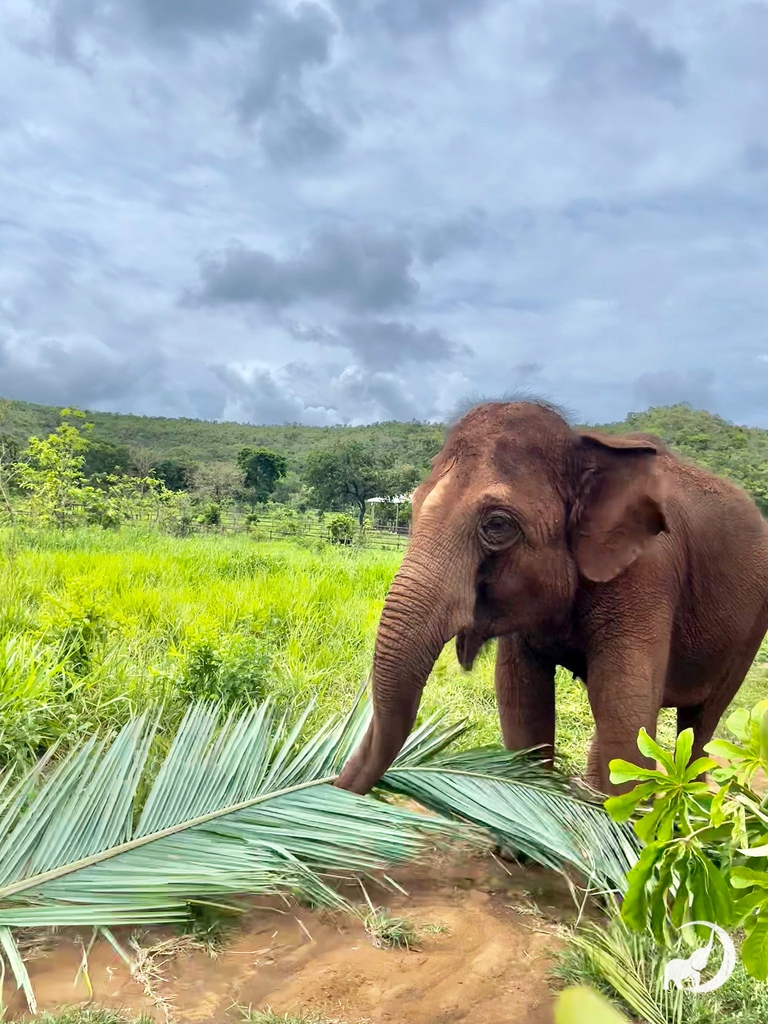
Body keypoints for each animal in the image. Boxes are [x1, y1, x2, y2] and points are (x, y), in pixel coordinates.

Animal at [334, 400, 768, 797]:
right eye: (414, 505)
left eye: (497, 524)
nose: (333, 789)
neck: (585, 449)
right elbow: (521, 703)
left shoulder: (647, 576)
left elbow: (624, 720)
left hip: (751, 629)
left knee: (702, 719)